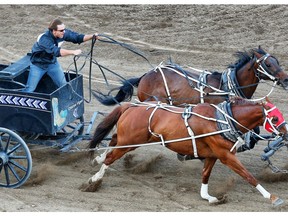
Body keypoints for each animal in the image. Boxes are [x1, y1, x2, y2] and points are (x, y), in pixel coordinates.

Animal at [87, 97, 288, 206]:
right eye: (275, 118)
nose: (286, 133)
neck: (222, 121)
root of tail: (131, 105)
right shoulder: (226, 155)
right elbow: (248, 175)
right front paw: (272, 197)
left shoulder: (212, 155)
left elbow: (205, 175)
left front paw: (208, 197)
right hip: (130, 140)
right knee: (111, 157)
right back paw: (95, 179)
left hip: (131, 140)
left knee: (113, 142)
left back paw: (97, 159)